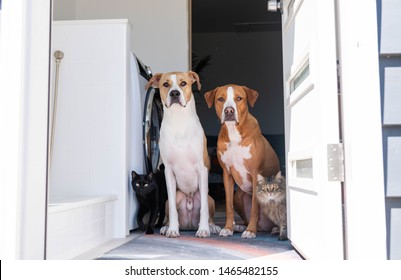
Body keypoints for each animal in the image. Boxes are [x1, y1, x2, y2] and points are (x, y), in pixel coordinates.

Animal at [145, 71, 219, 237]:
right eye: (166, 84)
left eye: (183, 83)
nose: (174, 93)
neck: (178, 121)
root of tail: (189, 225)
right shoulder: (169, 172)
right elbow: (173, 208)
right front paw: (172, 229)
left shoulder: (202, 169)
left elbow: (204, 208)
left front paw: (204, 229)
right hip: (170, 199)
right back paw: (166, 227)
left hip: (210, 197)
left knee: (208, 209)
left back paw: (212, 227)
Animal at [203, 84, 278, 237]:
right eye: (220, 99)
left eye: (239, 98)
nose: (229, 110)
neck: (233, 132)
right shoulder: (227, 174)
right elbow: (228, 206)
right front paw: (228, 228)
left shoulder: (255, 174)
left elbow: (255, 207)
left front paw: (250, 231)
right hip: (238, 196)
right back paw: (239, 226)